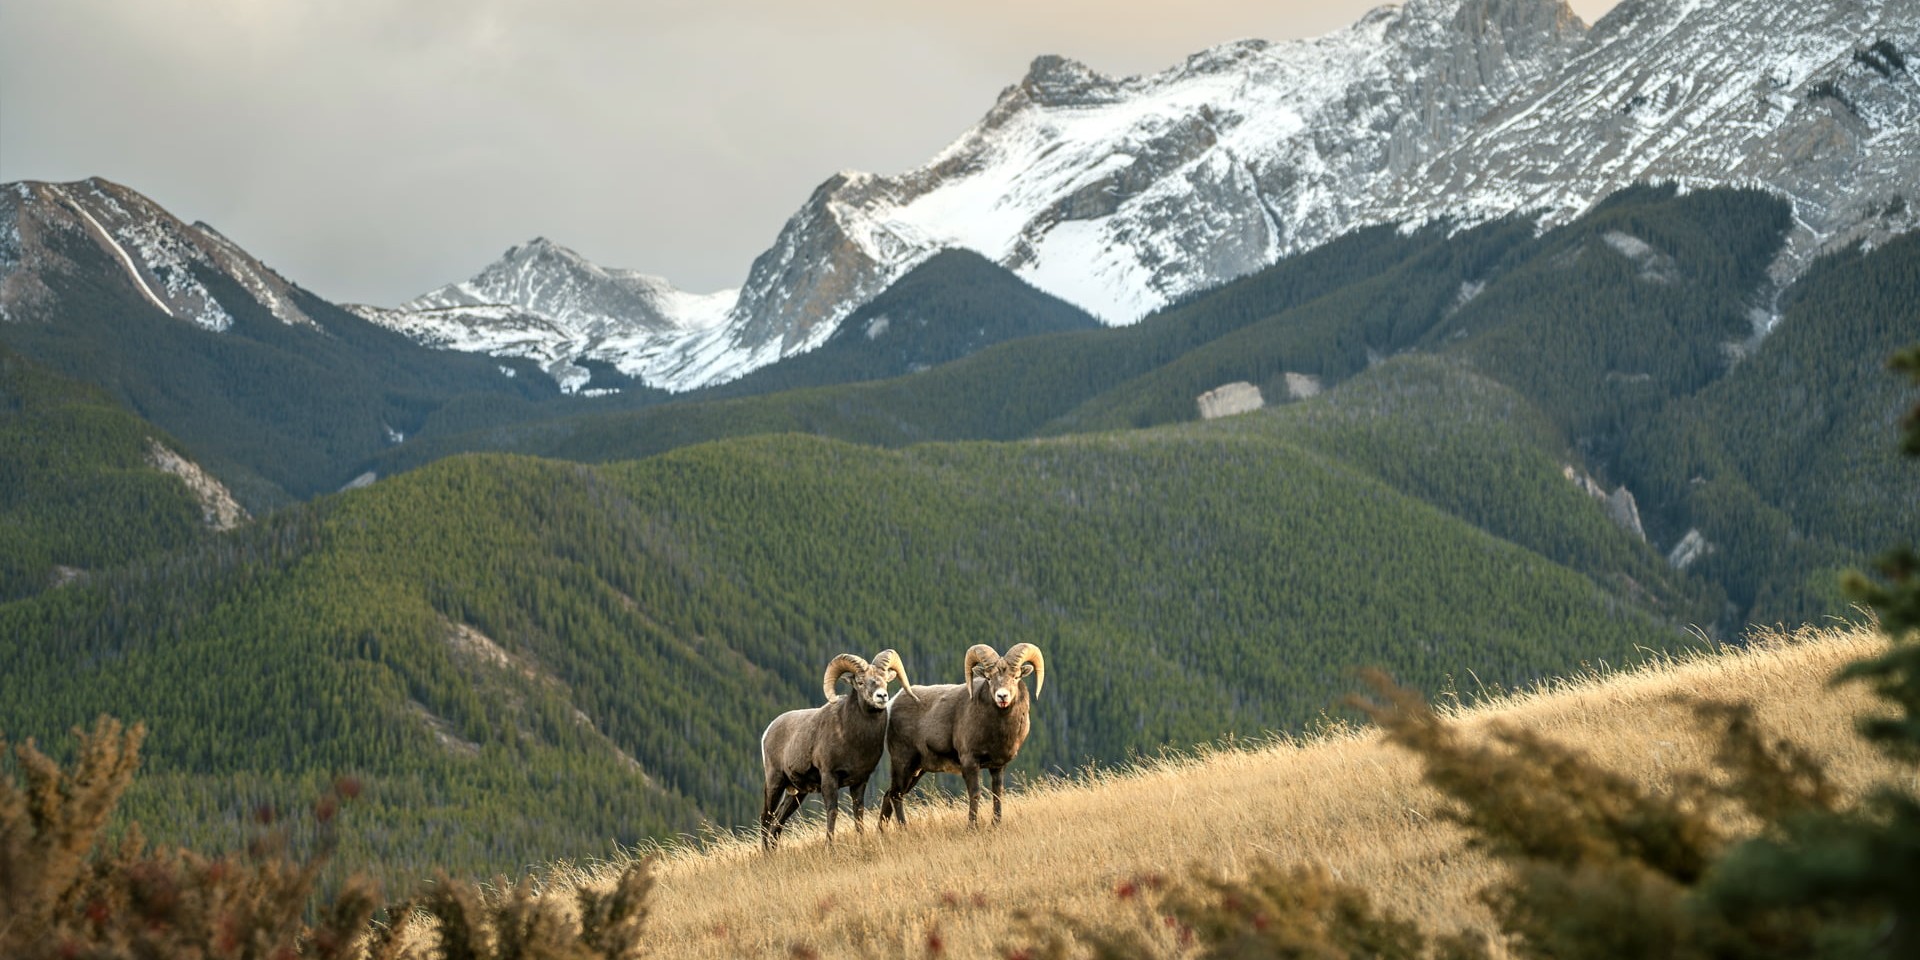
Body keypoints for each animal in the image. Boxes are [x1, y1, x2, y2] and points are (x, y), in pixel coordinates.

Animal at [759, 649, 917, 850]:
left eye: (885, 680)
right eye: (860, 682)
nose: (881, 696)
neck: (853, 740)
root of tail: (768, 731)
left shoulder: (860, 781)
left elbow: (858, 812)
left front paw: (861, 842)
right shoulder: (829, 777)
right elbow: (832, 811)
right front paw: (829, 847)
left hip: (797, 793)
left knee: (778, 821)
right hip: (775, 782)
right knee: (766, 817)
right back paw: (765, 854)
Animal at [878, 642, 1045, 828]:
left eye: (1016, 677)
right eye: (989, 678)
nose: (1002, 696)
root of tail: (892, 704)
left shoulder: (997, 766)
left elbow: (997, 794)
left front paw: (996, 825)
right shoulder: (969, 762)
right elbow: (975, 794)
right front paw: (972, 827)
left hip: (916, 770)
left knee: (889, 795)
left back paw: (882, 832)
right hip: (903, 763)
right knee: (896, 795)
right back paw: (904, 829)